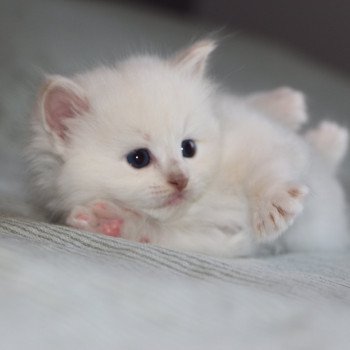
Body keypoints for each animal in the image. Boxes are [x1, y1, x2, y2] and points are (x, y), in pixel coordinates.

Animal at [26, 39, 348, 258]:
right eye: (139, 158)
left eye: (188, 148)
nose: (180, 180)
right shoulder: (220, 239)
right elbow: (158, 233)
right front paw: (113, 222)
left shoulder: (254, 135)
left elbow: (269, 162)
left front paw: (272, 207)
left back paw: (299, 112)